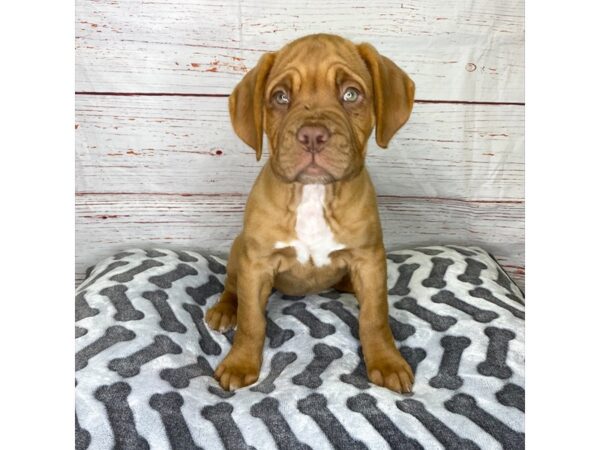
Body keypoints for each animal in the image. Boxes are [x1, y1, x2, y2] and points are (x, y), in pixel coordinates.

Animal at [204, 34, 414, 394]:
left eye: (351, 94)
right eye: (281, 96)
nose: (313, 135)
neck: (313, 194)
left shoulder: (369, 261)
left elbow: (375, 317)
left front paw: (387, 361)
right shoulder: (256, 264)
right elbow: (251, 321)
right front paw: (241, 362)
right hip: (238, 249)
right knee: (232, 286)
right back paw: (224, 309)